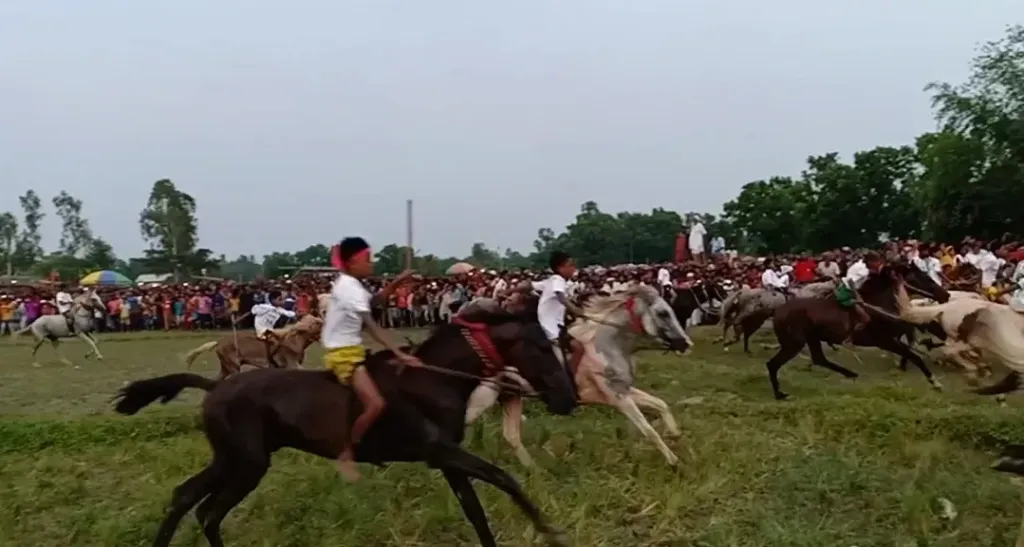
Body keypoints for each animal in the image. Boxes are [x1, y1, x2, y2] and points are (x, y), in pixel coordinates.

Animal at [183, 314, 323, 377]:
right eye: (319, 324)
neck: (294, 340)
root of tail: (219, 343)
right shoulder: (291, 364)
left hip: (226, 367)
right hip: (233, 367)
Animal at [465, 285, 694, 467]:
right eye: (663, 313)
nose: (686, 344)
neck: (606, 345)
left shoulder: (623, 390)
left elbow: (660, 404)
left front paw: (675, 435)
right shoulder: (618, 398)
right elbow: (648, 429)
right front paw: (674, 462)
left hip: (510, 396)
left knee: (511, 435)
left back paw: (535, 471)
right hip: (482, 399)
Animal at [764, 262, 949, 400]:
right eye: (924, 278)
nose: (946, 295)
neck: (877, 306)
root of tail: (777, 311)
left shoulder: (893, 339)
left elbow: (912, 352)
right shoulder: (885, 341)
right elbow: (916, 357)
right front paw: (936, 383)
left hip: (811, 339)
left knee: (819, 359)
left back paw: (851, 374)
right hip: (794, 343)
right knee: (772, 364)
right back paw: (779, 394)